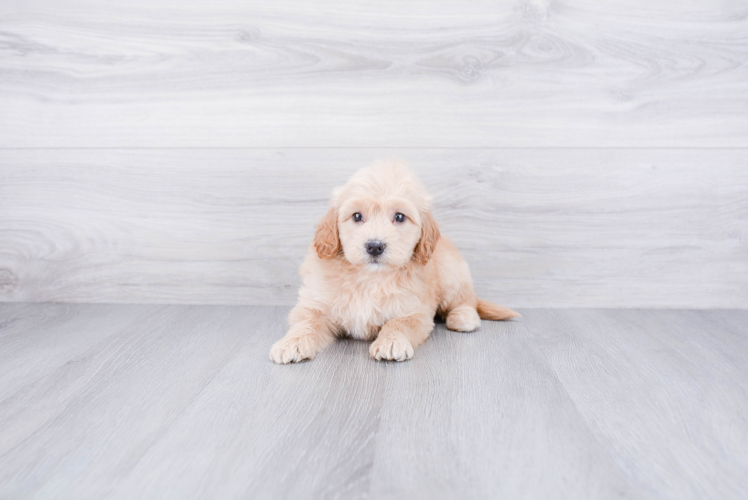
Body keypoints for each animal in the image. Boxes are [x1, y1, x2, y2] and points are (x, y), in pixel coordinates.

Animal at [270, 160, 520, 364]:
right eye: (357, 216)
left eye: (399, 217)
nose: (374, 246)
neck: (370, 277)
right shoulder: (314, 304)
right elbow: (306, 323)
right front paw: (291, 343)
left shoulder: (415, 311)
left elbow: (397, 323)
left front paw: (391, 342)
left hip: (451, 272)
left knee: (466, 299)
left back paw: (463, 317)